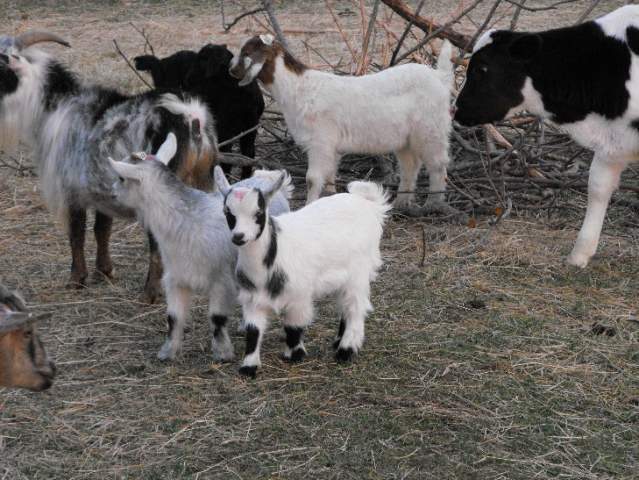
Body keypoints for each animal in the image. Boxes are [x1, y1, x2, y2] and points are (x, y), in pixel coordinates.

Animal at [0, 31, 217, 302]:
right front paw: (104, 272)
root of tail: (192, 118)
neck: (57, 107)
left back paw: (150, 294)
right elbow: (102, 230)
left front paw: (76, 279)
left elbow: (77, 234)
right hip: (203, 181)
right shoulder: (103, 189)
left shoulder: (72, 190)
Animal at [108, 133, 292, 361]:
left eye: (122, 178)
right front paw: (168, 352)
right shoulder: (176, 278)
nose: (111, 194)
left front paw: (222, 353)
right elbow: (173, 317)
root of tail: (268, 179)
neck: (187, 220)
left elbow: (217, 317)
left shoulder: (221, 281)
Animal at [214, 166, 390, 378]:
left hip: (359, 271)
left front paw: (294, 355)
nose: (239, 236)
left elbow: (293, 326)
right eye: (227, 212)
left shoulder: (299, 295)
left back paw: (346, 350)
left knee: (356, 307)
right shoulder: (252, 299)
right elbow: (253, 331)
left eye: (258, 212)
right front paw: (249, 367)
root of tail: (368, 204)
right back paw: (338, 341)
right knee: (345, 306)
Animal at [229, 34, 454, 210]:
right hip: (405, 139)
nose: (232, 71)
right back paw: (402, 202)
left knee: (438, 165)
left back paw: (433, 204)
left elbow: (312, 179)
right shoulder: (331, 147)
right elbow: (329, 175)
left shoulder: (320, 141)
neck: (298, 88)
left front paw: (308, 206)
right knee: (410, 166)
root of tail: (439, 77)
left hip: (431, 129)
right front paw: (330, 199)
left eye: (247, 51)